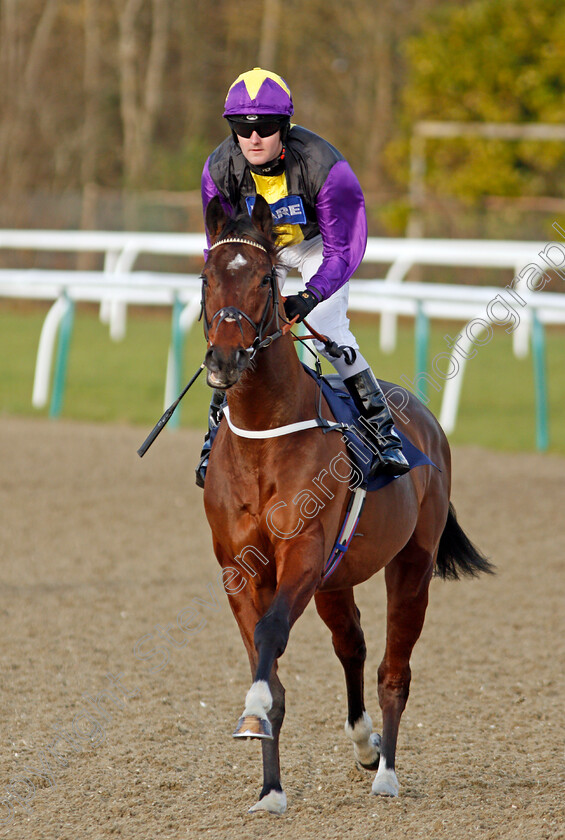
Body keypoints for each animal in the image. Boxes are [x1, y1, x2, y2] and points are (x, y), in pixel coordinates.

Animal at [200, 194, 492, 812]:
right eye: (206, 277)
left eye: (265, 279)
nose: (225, 360)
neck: (265, 435)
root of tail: (424, 419)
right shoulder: (239, 568)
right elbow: (268, 663)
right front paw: (270, 788)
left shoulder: (303, 554)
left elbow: (271, 637)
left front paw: (254, 713)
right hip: (334, 580)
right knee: (352, 644)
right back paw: (365, 745)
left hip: (411, 565)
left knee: (393, 667)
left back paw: (387, 773)